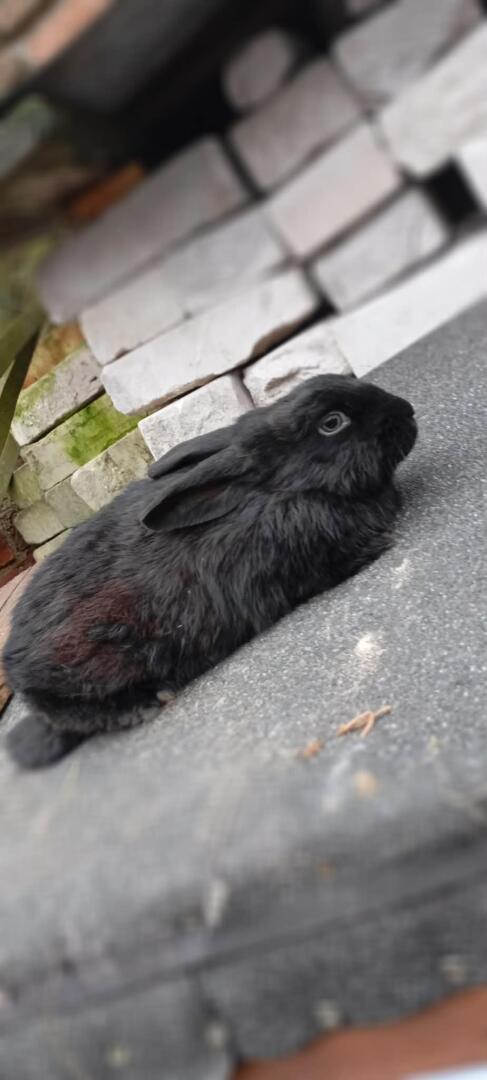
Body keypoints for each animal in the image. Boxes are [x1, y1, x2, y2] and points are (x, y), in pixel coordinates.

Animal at [3, 374, 417, 769]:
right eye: (332, 423)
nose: (407, 411)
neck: (279, 494)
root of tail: (17, 665)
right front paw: (377, 545)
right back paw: (144, 704)